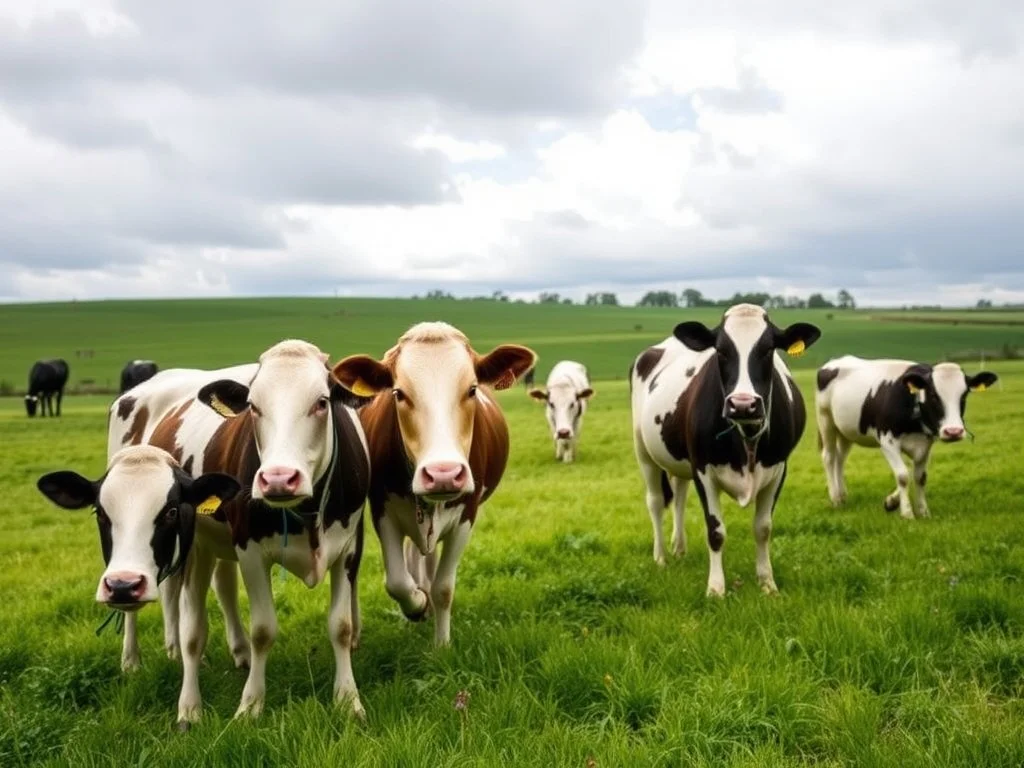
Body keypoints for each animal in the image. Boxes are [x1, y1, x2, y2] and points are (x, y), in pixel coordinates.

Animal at [101, 340, 371, 728]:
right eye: (254, 407)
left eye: (322, 402)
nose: (278, 478)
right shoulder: (250, 550)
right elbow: (263, 630)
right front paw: (251, 705)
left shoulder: (349, 546)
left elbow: (341, 626)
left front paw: (348, 700)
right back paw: (133, 660)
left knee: (218, 586)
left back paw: (220, 650)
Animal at [332, 322, 536, 646]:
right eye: (399, 393)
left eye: (472, 389)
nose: (443, 473)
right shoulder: (383, 510)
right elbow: (397, 581)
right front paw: (417, 605)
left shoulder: (466, 515)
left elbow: (443, 588)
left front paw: (442, 644)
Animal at [630, 304, 821, 597]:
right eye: (720, 350)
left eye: (768, 349)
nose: (742, 404)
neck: (747, 439)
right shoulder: (703, 468)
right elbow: (716, 531)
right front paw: (716, 588)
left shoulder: (779, 469)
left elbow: (763, 528)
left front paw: (767, 583)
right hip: (644, 450)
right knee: (656, 502)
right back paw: (661, 557)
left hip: (679, 460)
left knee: (679, 495)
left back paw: (679, 548)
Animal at [814, 356, 998, 519]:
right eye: (933, 395)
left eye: (964, 395)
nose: (953, 431)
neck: (913, 402)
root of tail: (834, 362)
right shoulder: (887, 442)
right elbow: (903, 476)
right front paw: (907, 513)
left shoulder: (926, 444)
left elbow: (920, 477)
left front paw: (918, 510)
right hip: (826, 420)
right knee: (829, 457)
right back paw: (835, 498)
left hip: (846, 431)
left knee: (840, 459)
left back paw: (842, 495)